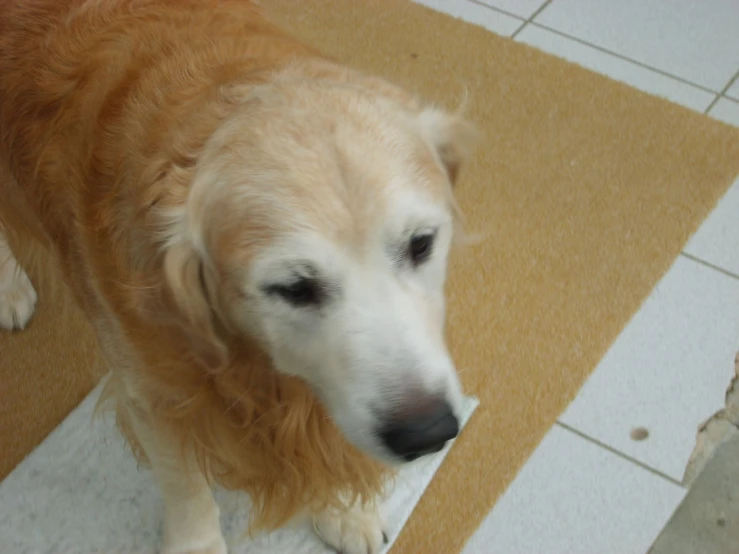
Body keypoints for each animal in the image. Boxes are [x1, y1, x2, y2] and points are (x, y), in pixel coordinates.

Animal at [0, 2, 474, 548]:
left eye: (420, 244)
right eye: (294, 287)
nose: (428, 432)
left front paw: (344, 510)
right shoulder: (154, 390)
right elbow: (186, 487)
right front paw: (196, 545)